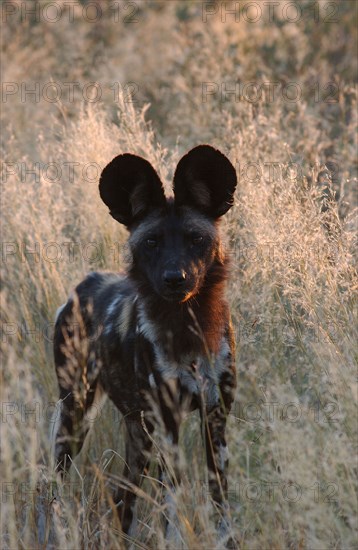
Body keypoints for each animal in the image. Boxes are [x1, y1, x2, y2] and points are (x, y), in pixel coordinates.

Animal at [53, 144, 238, 540]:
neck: (186, 328)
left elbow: (220, 504)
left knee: (123, 499)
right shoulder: (168, 424)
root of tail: (83, 285)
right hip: (76, 416)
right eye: (152, 242)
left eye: (196, 239)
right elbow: (173, 508)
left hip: (138, 438)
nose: (175, 278)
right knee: (53, 482)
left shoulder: (215, 419)